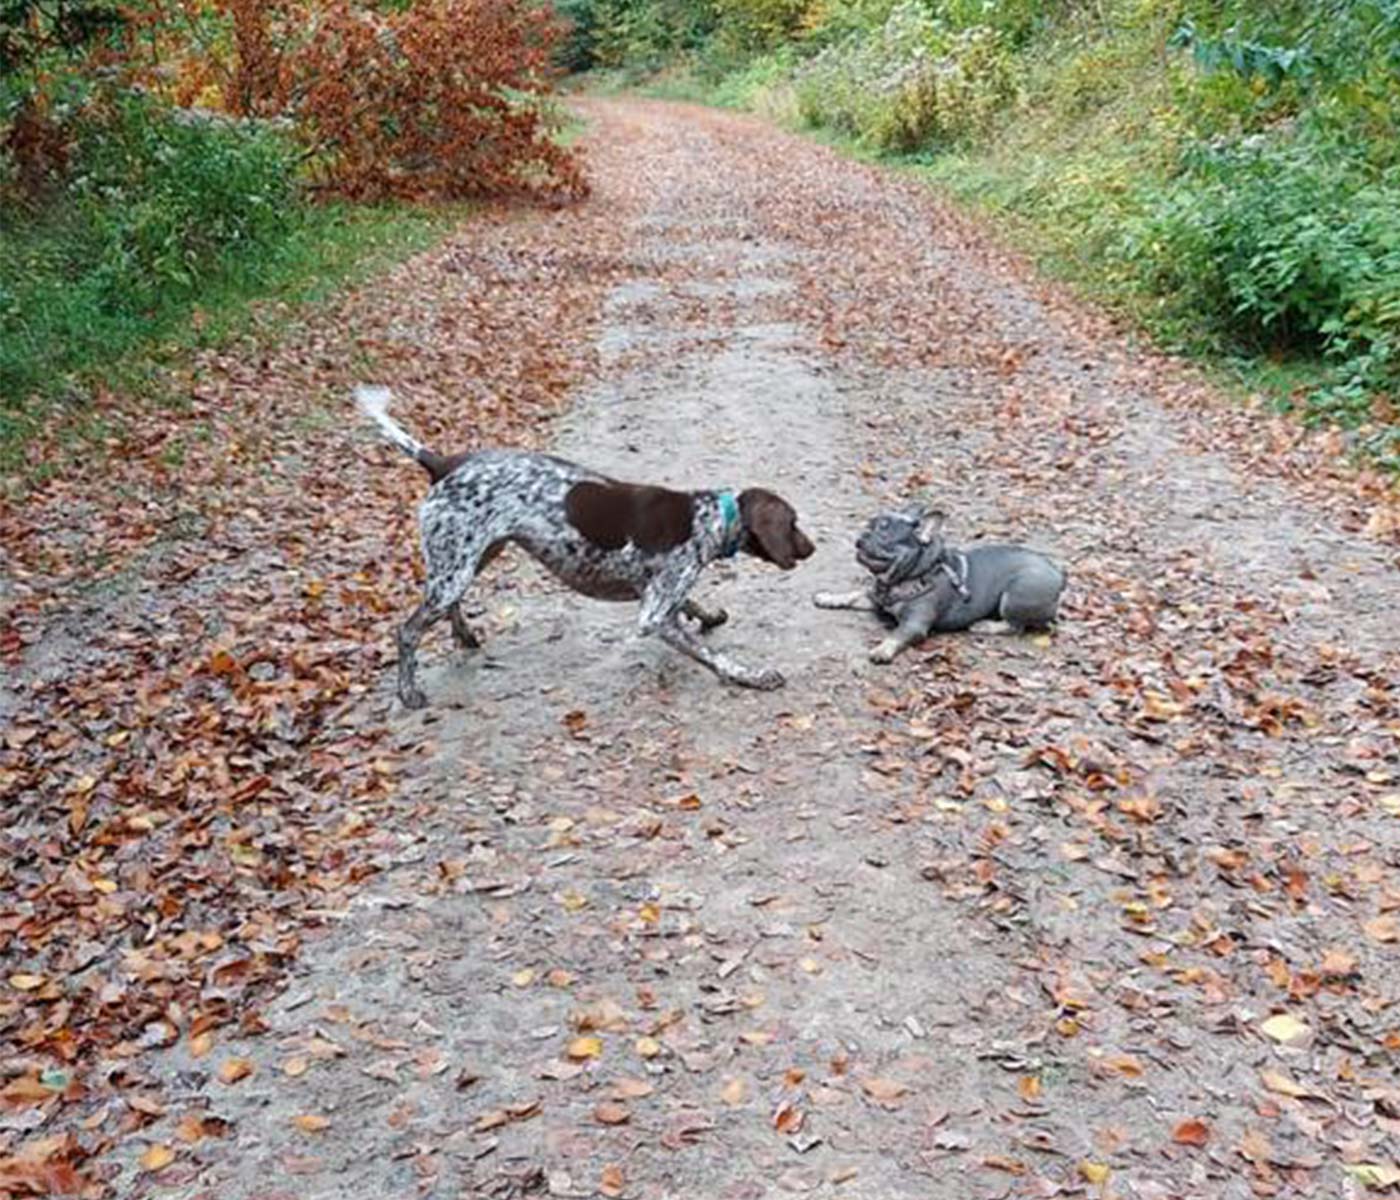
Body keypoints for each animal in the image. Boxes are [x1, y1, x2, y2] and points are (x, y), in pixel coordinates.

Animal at [355, 383, 817, 705]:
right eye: (793, 523)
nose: (812, 548)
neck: (711, 517)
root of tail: (443, 462)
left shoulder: (658, 591)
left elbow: (692, 603)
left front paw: (710, 614)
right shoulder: (653, 615)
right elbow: (712, 653)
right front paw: (751, 675)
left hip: (472, 556)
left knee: (449, 605)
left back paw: (465, 637)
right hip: (456, 564)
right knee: (407, 631)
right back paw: (408, 693)